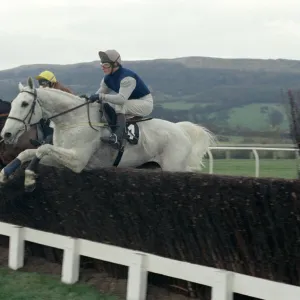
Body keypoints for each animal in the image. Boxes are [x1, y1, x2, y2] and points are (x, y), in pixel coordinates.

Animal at [0, 77, 216, 190]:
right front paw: (6, 172)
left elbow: (41, 149)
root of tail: (182, 130)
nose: (7, 134)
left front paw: (29, 176)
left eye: (25, 104)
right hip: (152, 166)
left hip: (173, 167)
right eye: (13, 103)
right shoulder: (61, 157)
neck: (73, 120)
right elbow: (29, 152)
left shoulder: (77, 160)